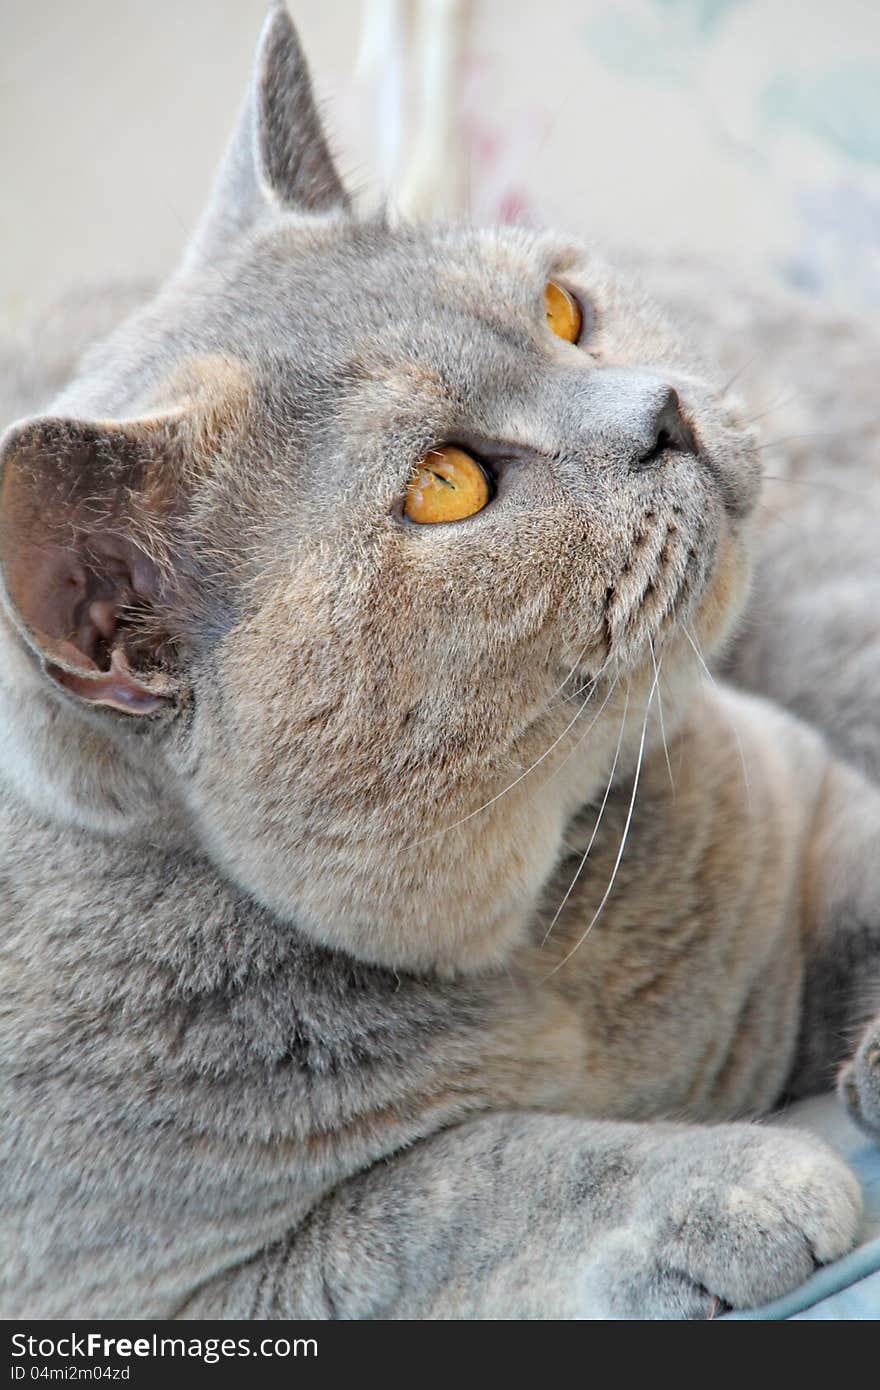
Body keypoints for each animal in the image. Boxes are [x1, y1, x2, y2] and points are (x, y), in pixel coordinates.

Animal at [1, 5, 878, 1317]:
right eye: (447, 483)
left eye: (562, 311)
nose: (661, 409)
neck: (549, 922)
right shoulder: (162, 1291)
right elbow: (463, 1181)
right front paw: (735, 1189)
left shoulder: (813, 813)